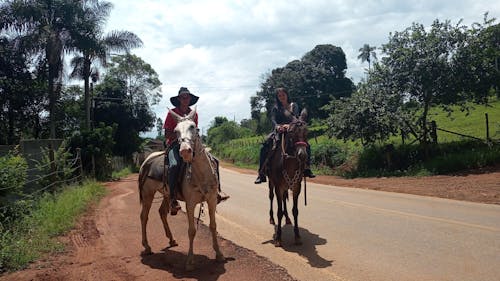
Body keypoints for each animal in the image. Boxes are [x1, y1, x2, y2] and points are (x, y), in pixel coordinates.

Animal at [137, 107, 223, 270]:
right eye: (176, 131)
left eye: (193, 127)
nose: (185, 151)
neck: (200, 174)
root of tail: (147, 161)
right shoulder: (190, 203)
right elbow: (191, 231)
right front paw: (189, 261)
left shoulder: (212, 200)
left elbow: (214, 226)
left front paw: (219, 254)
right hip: (147, 194)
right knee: (144, 216)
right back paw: (146, 246)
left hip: (166, 195)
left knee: (162, 212)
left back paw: (171, 239)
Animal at [266, 108, 308, 246]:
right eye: (291, 132)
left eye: (307, 131)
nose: (302, 155)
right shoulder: (278, 187)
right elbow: (279, 211)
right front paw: (278, 237)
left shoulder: (296, 187)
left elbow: (295, 210)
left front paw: (297, 236)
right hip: (271, 183)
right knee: (271, 197)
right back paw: (271, 218)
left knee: (284, 199)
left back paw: (288, 218)